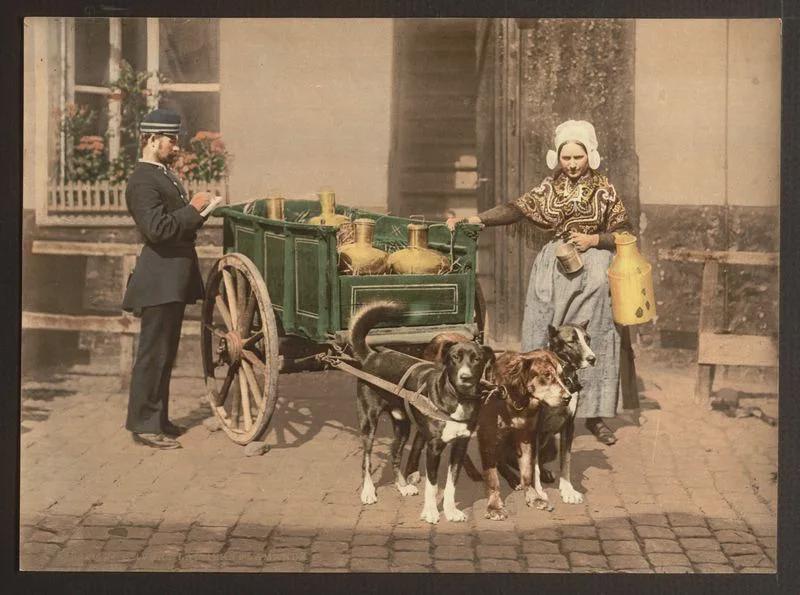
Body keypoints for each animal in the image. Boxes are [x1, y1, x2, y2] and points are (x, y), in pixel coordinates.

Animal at [350, 302, 494, 528]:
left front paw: (451, 511)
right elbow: (432, 485)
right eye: (455, 358)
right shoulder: (433, 448)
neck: (457, 399)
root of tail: (373, 356)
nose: (465, 377)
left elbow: (452, 483)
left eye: (477, 359)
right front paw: (431, 512)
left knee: (395, 453)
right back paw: (368, 491)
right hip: (368, 422)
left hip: (402, 425)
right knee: (366, 459)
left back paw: (402, 486)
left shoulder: (459, 447)